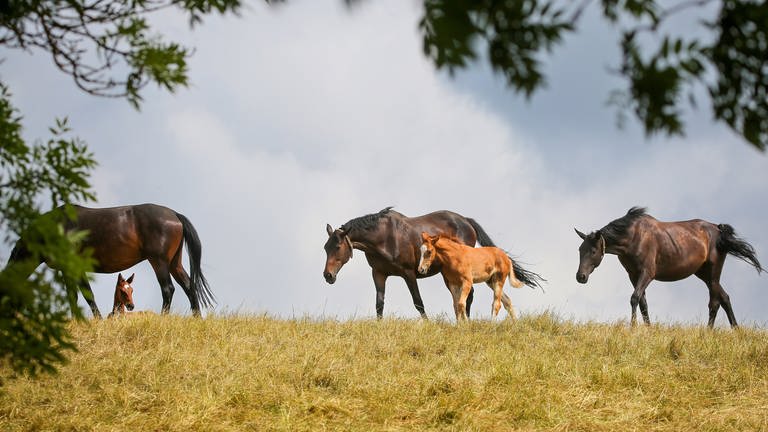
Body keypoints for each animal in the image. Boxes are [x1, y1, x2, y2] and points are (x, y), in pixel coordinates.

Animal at [9, 202, 214, 318]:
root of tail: (174, 214)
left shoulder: (72, 268)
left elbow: (82, 295)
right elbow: (80, 295)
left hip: (159, 262)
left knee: (168, 289)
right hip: (174, 263)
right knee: (189, 286)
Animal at [324, 208, 544, 318]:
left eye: (337, 247)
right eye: (326, 248)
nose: (328, 276)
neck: (385, 237)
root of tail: (466, 221)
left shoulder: (409, 274)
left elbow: (418, 302)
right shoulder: (379, 274)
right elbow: (379, 304)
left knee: (470, 295)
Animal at [576, 207, 760, 328]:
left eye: (593, 251)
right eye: (579, 250)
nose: (580, 277)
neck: (634, 236)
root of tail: (718, 230)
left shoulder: (647, 274)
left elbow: (634, 298)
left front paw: (633, 327)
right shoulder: (633, 275)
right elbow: (643, 302)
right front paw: (648, 328)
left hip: (713, 272)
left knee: (714, 302)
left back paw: (709, 331)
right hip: (704, 274)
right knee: (724, 298)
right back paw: (735, 329)